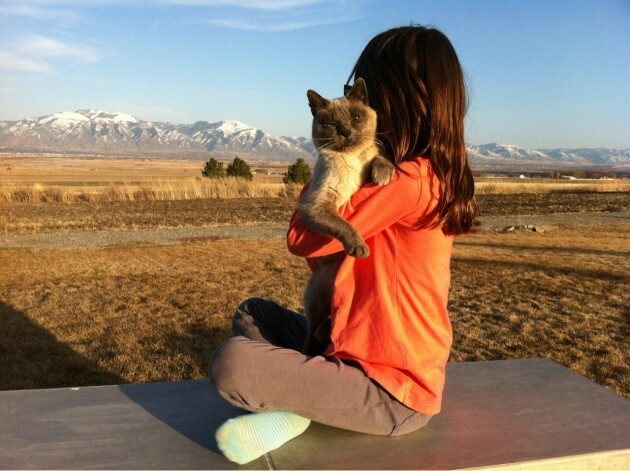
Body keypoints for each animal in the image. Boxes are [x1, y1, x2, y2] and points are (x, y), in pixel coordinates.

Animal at [302, 78, 396, 358]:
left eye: (356, 117)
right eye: (332, 124)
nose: (344, 131)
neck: (352, 159)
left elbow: (380, 157)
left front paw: (382, 174)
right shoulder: (319, 204)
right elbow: (345, 225)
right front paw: (359, 247)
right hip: (324, 279)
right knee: (315, 326)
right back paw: (313, 343)